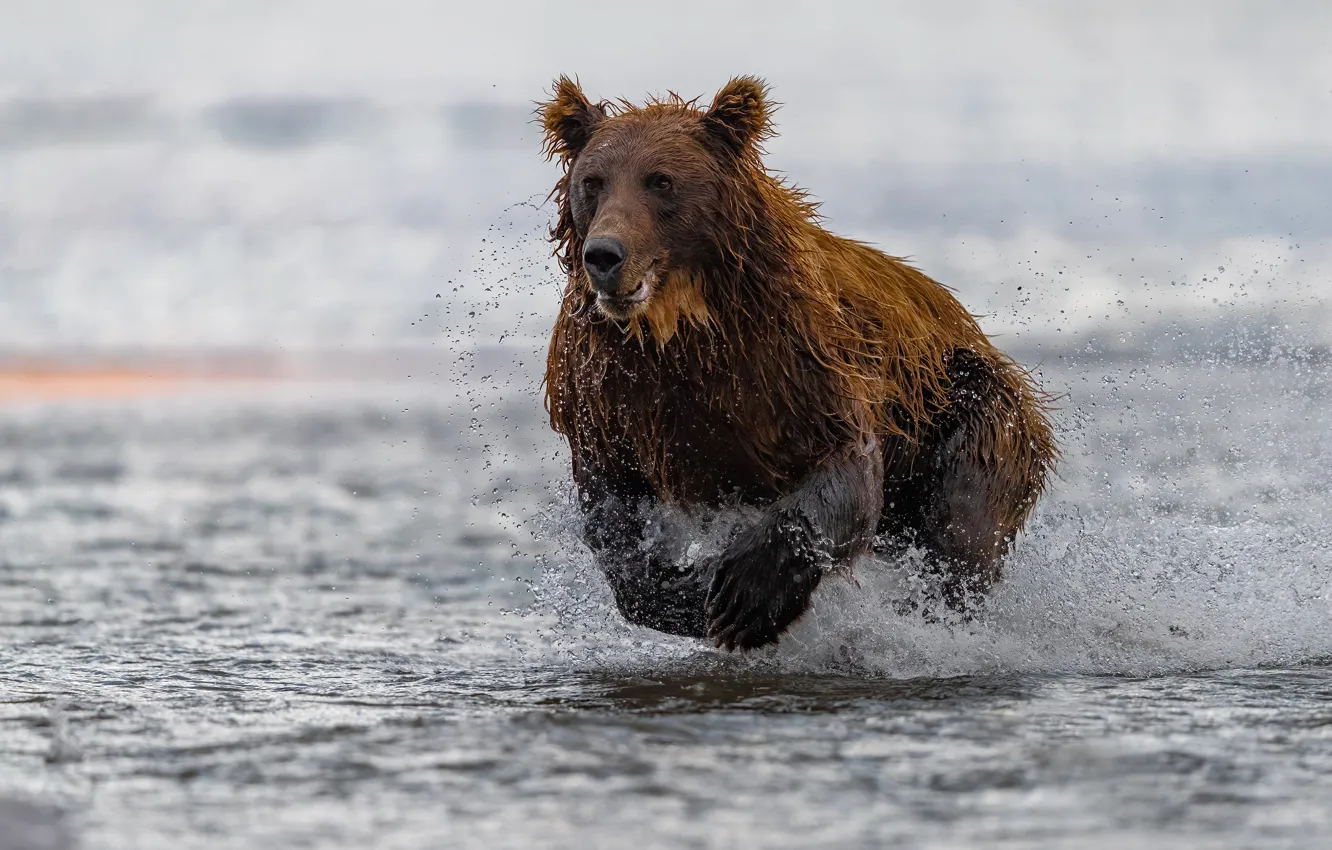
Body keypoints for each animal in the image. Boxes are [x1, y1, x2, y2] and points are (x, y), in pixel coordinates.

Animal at [538, 76, 1057, 651]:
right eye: (593, 182)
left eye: (661, 181)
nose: (605, 255)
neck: (681, 328)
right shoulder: (609, 392)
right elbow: (613, 509)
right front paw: (685, 594)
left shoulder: (797, 359)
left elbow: (846, 468)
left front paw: (746, 595)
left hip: (964, 401)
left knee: (964, 519)